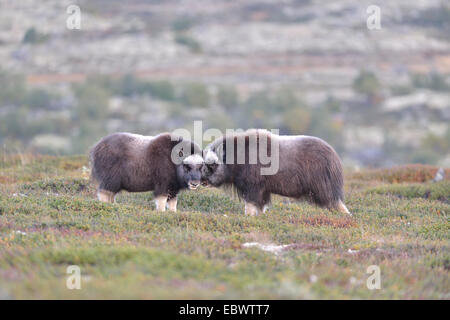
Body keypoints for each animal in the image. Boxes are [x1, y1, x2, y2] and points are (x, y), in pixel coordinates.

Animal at [201, 129, 352, 216]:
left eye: (212, 165)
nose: (202, 181)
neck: (239, 156)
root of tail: (334, 157)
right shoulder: (262, 190)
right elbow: (260, 205)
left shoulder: (253, 187)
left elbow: (250, 204)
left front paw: (249, 216)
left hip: (323, 188)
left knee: (336, 203)